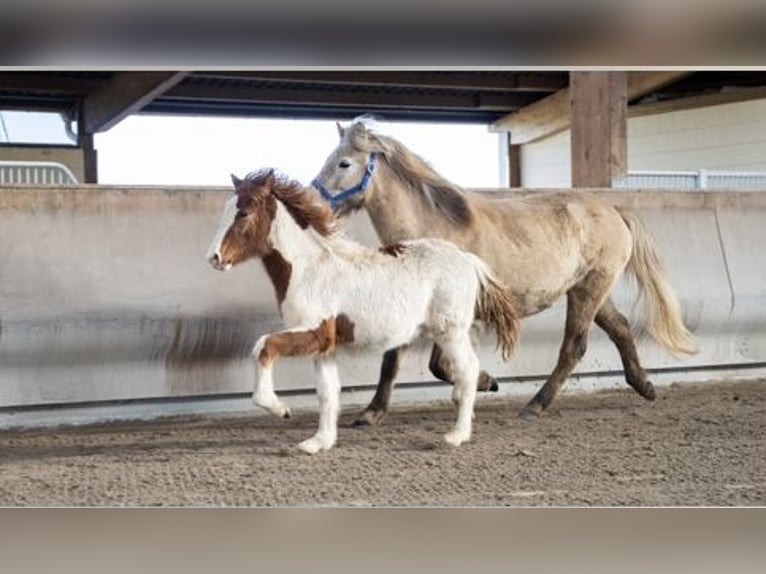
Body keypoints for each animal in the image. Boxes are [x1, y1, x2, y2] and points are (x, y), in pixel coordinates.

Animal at [206, 168, 521, 454]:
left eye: (244, 212)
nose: (214, 258)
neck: (309, 268)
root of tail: (468, 259)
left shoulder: (315, 331)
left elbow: (263, 345)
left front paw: (281, 409)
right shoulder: (325, 345)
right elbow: (328, 393)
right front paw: (319, 442)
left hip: (450, 331)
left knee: (468, 370)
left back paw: (457, 435)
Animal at [312, 118, 697, 425]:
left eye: (344, 163)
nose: (314, 204)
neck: (436, 230)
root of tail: (614, 211)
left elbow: (435, 363)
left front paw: (483, 382)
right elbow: (405, 360)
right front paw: (371, 413)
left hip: (590, 289)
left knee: (574, 346)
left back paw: (535, 405)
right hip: (588, 290)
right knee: (620, 328)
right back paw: (645, 386)